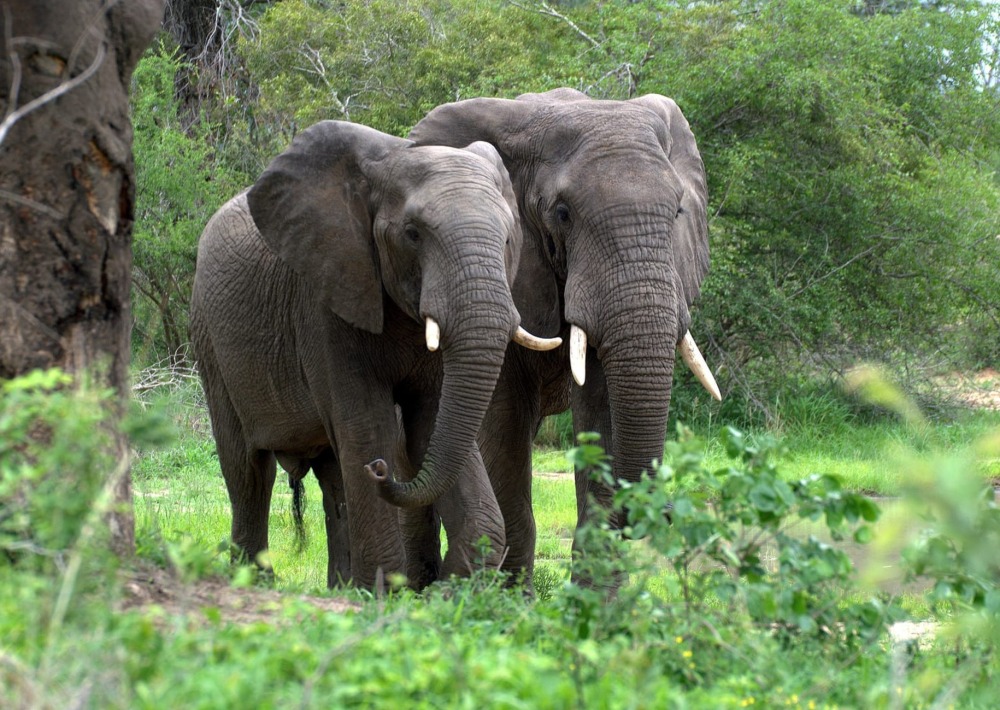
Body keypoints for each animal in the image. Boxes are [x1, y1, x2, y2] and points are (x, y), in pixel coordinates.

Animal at [189, 121, 564, 588]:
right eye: (412, 233)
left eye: (509, 238)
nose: (382, 469)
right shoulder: (324, 301)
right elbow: (366, 425)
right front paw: (382, 595)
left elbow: (432, 425)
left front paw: (439, 591)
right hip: (209, 339)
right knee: (248, 471)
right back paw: (256, 583)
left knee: (332, 477)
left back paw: (341, 588)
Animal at [402, 86, 724, 592]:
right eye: (563, 213)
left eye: (677, 212)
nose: (666, 511)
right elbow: (504, 421)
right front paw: (512, 601)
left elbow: (602, 404)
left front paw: (596, 603)